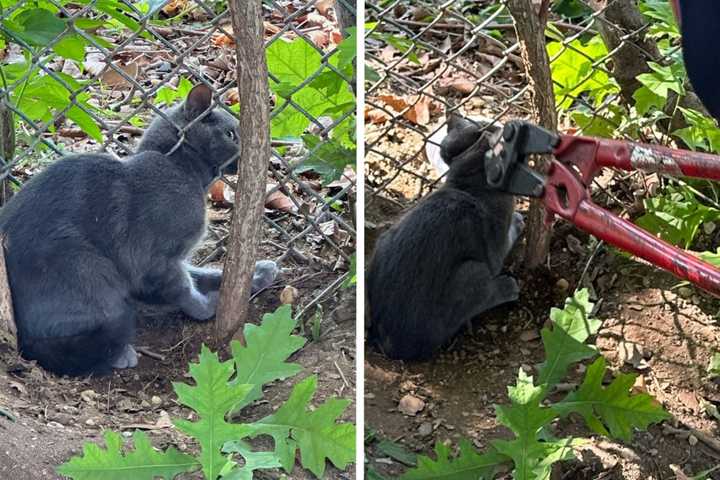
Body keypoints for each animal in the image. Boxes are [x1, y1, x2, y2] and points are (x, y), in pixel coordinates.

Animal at [0, 83, 278, 376]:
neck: (181, 168)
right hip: (84, 264)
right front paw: (208, 307)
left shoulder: (176, 258)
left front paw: (259, 274)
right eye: (230, 134)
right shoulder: (154, 259)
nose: (262, 153)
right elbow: (183, 288)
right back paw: (121, 354)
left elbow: (206, 273)